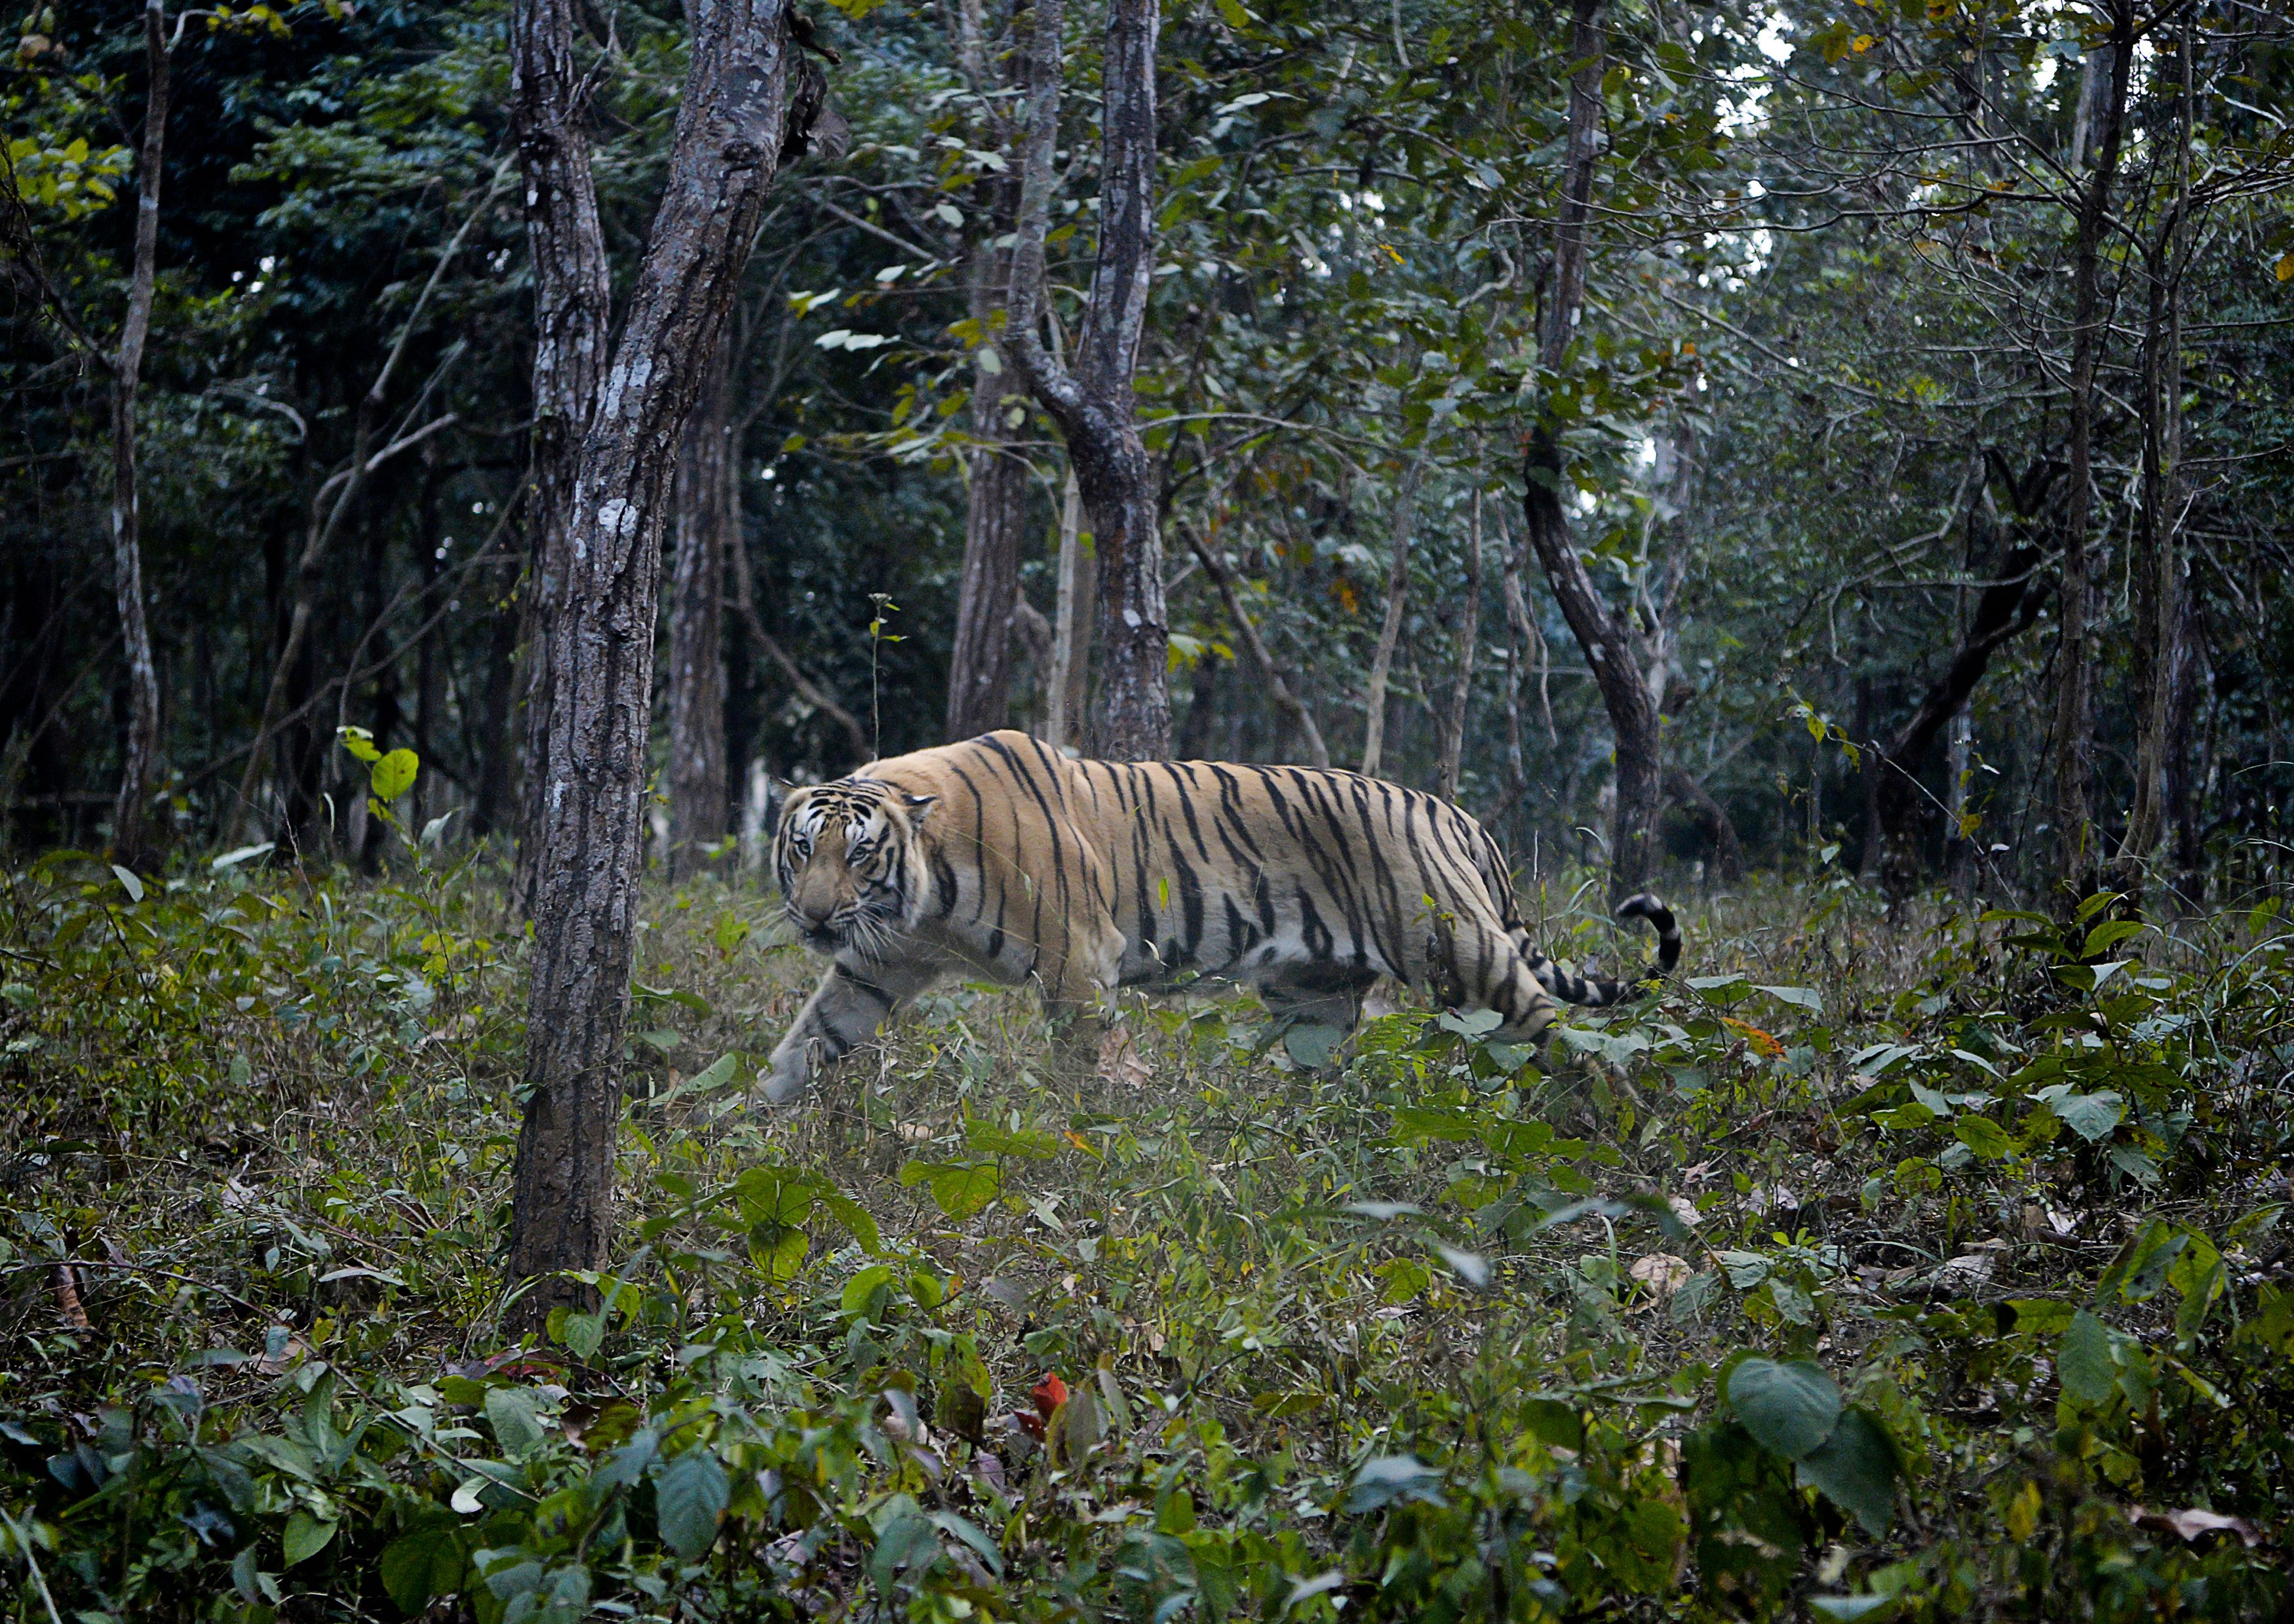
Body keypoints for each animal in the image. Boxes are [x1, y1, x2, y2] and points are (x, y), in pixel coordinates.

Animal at [762, 734, 1679, 1106]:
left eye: (859, 855)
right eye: (802, 850)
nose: (813, 917)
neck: (921, 895)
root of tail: (1455, 815)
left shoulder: (1075, 960)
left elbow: (1083, 1067)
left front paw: (1089, 1133)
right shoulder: (875, 964)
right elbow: (802, 1046)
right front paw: (745, 1131)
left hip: (1465, 958)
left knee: (1571, 1045)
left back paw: (1620, 1133)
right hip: (1313, 998)